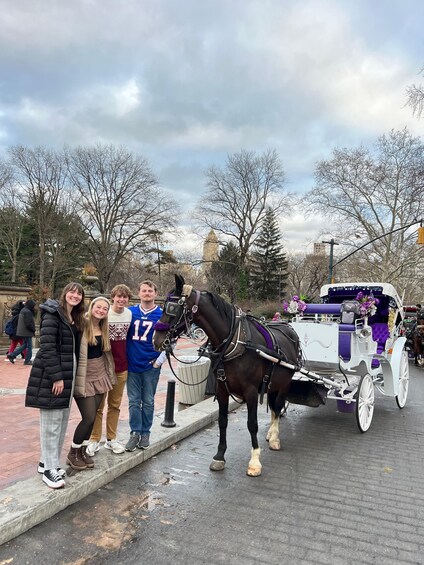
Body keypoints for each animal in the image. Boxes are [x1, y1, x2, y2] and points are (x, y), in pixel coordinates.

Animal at [154, 276, 304, 474]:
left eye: (172, 308)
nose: (156, 340)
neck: (236, 342)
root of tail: (290, 329)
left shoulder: (251, 391)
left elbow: (252, 424)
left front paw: (255, 461)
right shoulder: (221, 389)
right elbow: (222, 421)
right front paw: (219, 456)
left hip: (285, 384)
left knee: (278, 407)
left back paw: (274, 438)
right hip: (273, 384)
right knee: (274, 409)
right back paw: (271, 433)